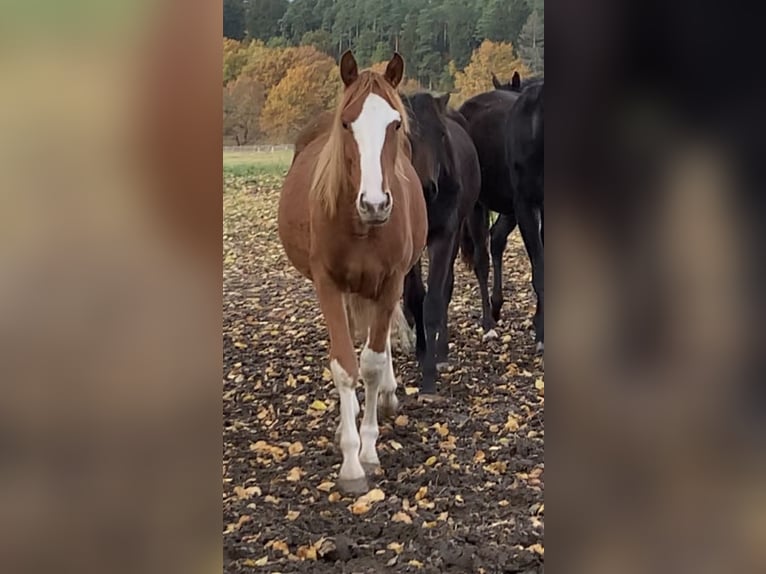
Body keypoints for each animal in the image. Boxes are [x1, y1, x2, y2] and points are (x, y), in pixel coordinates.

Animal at [278, 51, 427, 494]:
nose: (375, 203)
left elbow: (373, 363)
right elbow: (345, 366)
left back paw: (389, 395)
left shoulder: (391, 282)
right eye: (347, 124)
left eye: (394, 124)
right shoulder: (328, 285)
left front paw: (369, 450)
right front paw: (350, 461)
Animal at [399, 92, 484, 394]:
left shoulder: (445, 236)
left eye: (441, 134)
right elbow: (416, 296)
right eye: (407, 136)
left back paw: (442, 352)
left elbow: (435, 300)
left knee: (447, 286)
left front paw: (428, 378)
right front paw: (422, 351)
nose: (426, 189)